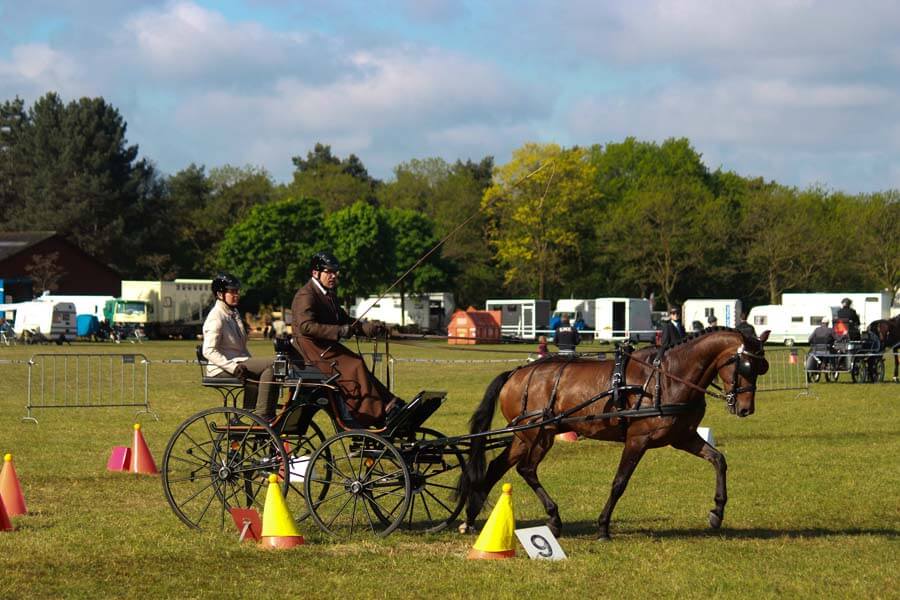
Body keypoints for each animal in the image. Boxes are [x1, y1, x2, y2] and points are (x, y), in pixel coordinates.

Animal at [456, 327, 770, 540]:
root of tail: (517, 372)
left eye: (761, 367)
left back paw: (470, 518)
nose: (745, 409)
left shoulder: (683, 437)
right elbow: (620, 482)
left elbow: (719, 460)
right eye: (744, 366)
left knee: (498, 466)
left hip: (526, 436)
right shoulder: (637, 440)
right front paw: (603, 527)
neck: (666, 378)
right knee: (526, 469)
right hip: (538, 433)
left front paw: (717, 513)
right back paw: (553, 518)